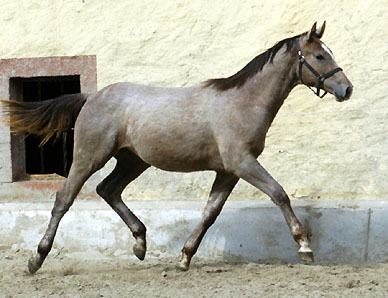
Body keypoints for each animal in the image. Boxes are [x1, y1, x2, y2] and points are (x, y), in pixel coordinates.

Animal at [2, 21, 354, 274]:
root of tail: (91, 97)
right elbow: (279, 193)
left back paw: (140, 243)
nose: (346, 88)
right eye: (320, 56)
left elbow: (210, 213)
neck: (243, 102)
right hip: (90, 156)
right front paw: (305, 247)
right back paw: (36, 259)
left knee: (108, 190)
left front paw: (184, 257)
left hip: (133, 161)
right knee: (64, 199)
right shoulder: (242, 163)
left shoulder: (228, 171)